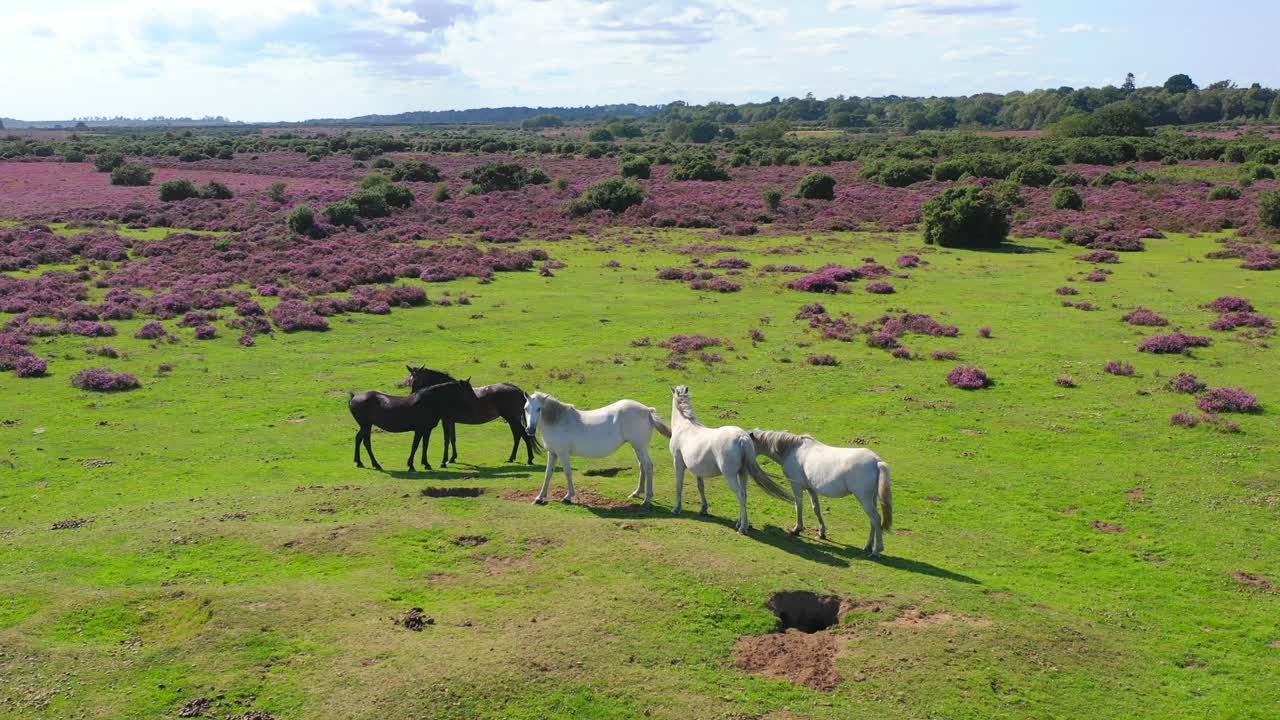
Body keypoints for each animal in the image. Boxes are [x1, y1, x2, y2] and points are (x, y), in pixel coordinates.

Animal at [348, 379, 478, 472]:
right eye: (468, 391)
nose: (476, 402)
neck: (429, 402)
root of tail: (354, 396)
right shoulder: (419, 430)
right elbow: (415, 446)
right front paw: (411, 465)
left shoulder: (427, 430)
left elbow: (425, 445)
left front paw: (426, 464)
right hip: (366, 425)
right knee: (366, 442)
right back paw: (376, 464)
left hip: (365, 425)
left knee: (358, 439)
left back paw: (359, 462)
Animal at [408, 366, 542, 465]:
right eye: (410, 381)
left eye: (416, 380)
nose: (413, 397)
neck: (449, 393)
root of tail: (518, 390)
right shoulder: (451, 421)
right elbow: (453, 439)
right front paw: (452, 458)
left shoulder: (446, 420)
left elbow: (447, 440)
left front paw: (444, 461)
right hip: (512, 420)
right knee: (518, 436)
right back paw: (512, 458)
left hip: (512, 419)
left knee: (522, 435)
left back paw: (529, 459)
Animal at [523, 391, 670, 505]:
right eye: (525, 408)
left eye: (539, 408)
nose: (530, 430)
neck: (558, 420)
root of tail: (647, 410)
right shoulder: (553, 453)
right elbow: (548, 474)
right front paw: (540, 497)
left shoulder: (563, 453)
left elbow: (567, 473)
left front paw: (568, 496)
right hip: (638, 447)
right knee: (642, 466)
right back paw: (637, 492)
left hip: (640, 446)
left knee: (648, 466)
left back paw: (648, 499)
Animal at [668, 385, 791, 534]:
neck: (685, 426)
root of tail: (741, 437)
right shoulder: (698, 470)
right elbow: (701, 487)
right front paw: (703, 509)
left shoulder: (678, 464)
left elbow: (679, 485)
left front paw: (676, 508)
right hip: (743, 473)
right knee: (744, 495)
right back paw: (739, 524)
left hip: (730, 476)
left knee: (740, 496)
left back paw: (742, 528)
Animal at [748, 429, 893, 557]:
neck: (793, 449)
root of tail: (876, 461)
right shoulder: (811, 488)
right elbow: (816, 508)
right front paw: (821, 532)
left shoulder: (797, 486)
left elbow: (798, 506)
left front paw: (797, 529)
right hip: (872, 499)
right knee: (873, 520)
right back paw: (868, 546)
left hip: (864, 498)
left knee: (876, 518)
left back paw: (877, 550)